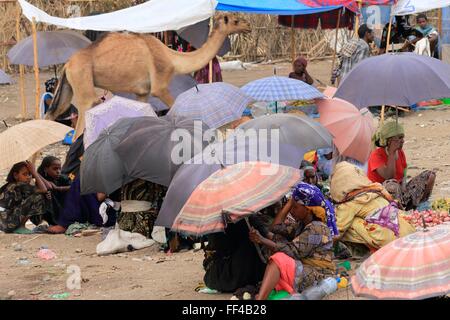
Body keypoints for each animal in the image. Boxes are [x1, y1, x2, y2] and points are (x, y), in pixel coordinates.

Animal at [47, 14, 251, 140]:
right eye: (235, 20)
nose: (248, 26)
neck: (172, 58)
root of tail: (68, 64)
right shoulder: (159, 84)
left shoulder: (142, 92)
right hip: (83, 81)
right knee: (79, 128)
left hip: (68, 87)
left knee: (52, 114)